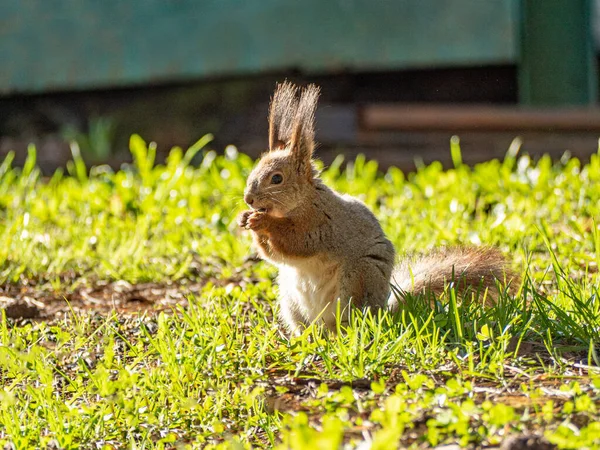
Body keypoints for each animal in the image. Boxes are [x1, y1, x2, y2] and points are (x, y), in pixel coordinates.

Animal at [237, 81, 512, 334]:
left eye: (276, 178)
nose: (249, 199)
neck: (301, 202)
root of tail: (383, 310)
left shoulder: (323, 223)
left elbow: (298, 242)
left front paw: (261, 222)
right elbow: (274, 255)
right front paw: (245, 219)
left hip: (358, 281)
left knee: (351, 322)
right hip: (290, 300)